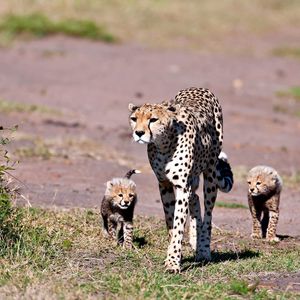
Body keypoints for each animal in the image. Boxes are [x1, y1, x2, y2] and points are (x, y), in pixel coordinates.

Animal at [127, 86, 233, 272]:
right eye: (134, 118)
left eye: (153, 119)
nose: (138, 133)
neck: (164, 144)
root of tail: (198, 87)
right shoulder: (164, 184)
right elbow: (171, 221)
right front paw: (175, 253)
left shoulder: (182, 187)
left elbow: (178, 224)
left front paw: (173, 262)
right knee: (195, 198)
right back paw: (195, 240)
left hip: (210, 174)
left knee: (208, 213)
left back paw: (203, 250)